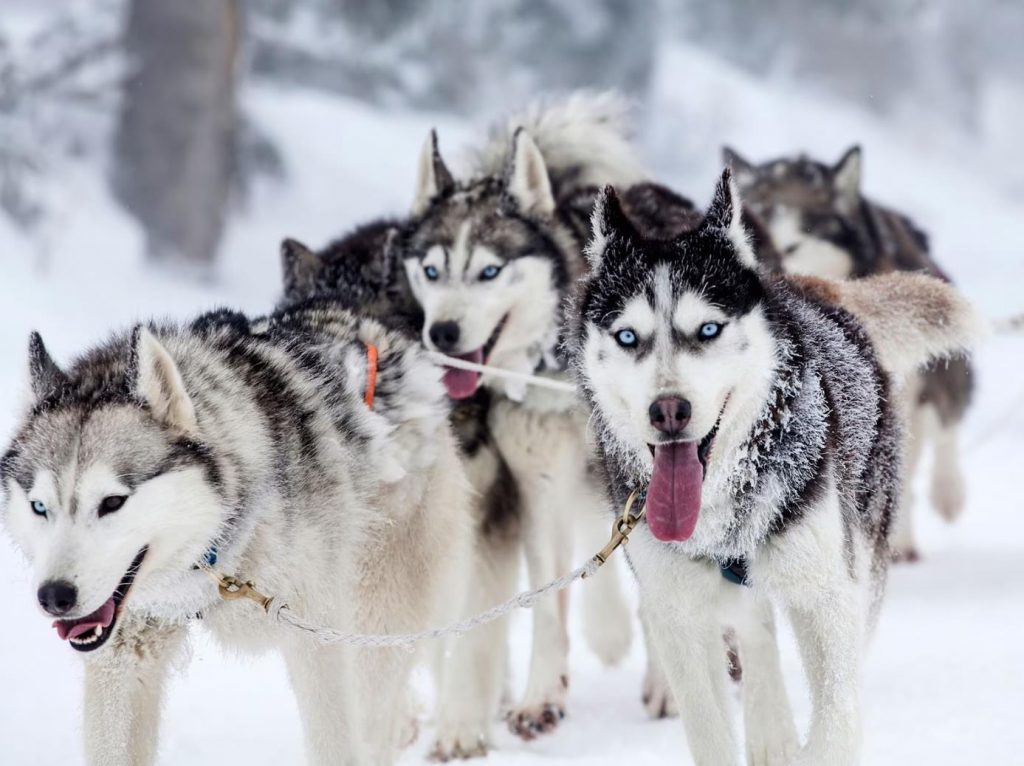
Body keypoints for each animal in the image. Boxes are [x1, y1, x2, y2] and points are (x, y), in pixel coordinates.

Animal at [0, 303, 471, 761]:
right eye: (40, 507)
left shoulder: (316, 639)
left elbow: (336, 740)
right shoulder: (124, 656)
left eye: (112, 502)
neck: (219, 549)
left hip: (376, 618)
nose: (54, 597)